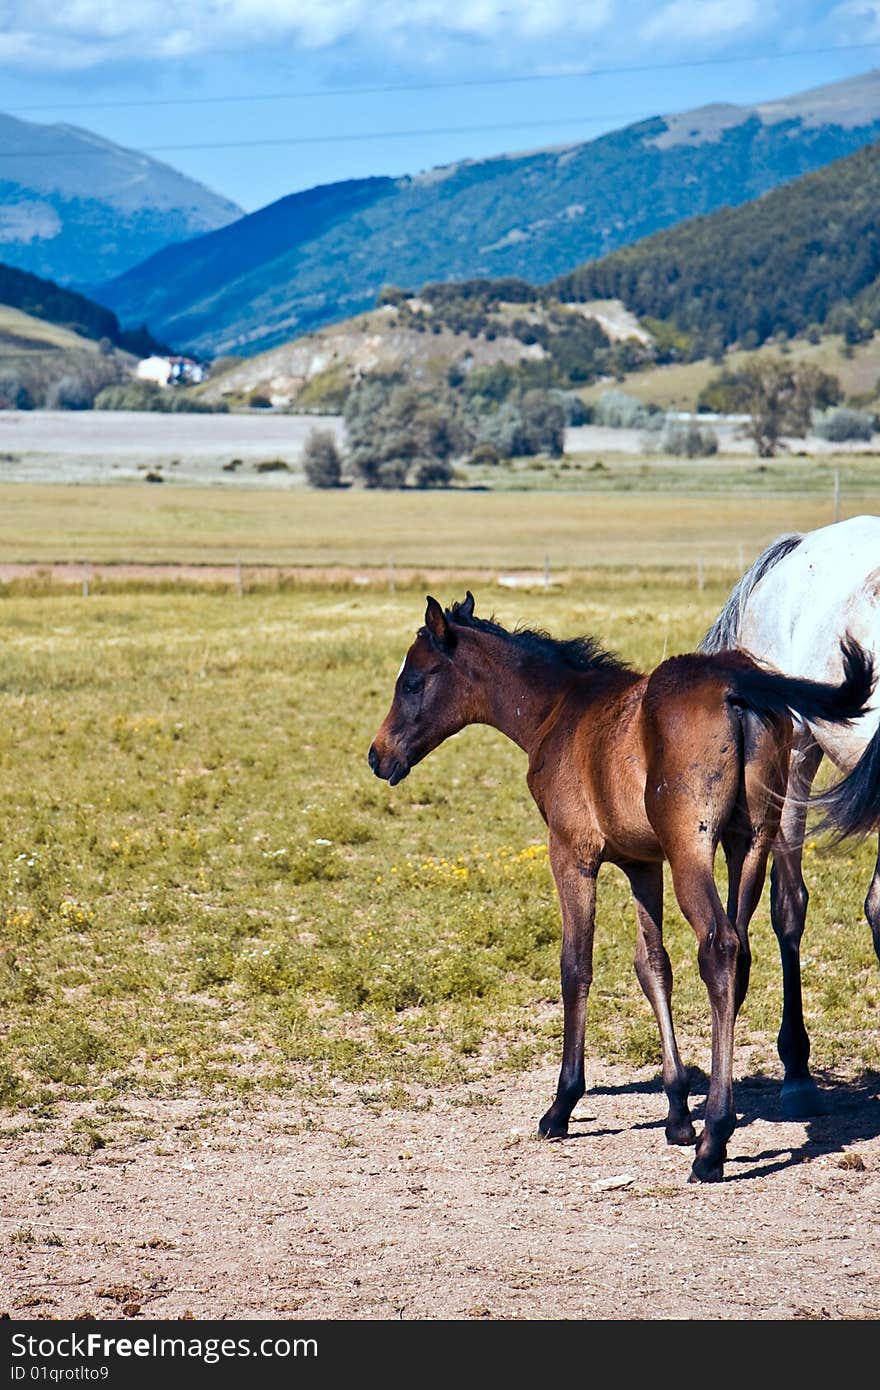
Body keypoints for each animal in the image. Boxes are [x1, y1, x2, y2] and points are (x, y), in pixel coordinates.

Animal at [364, 594, 873, 1184]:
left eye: (412, 682)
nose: (378, 756)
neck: (560, 712)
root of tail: (737, 685)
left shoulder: (573, 854)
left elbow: (575, 965)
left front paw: (562, 1105)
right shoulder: (641, 864)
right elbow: (653, 966)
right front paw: (676, 1115)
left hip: (692, 848)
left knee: (720, 948)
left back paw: (714, 1142)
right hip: (751, 843)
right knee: (740, 952)